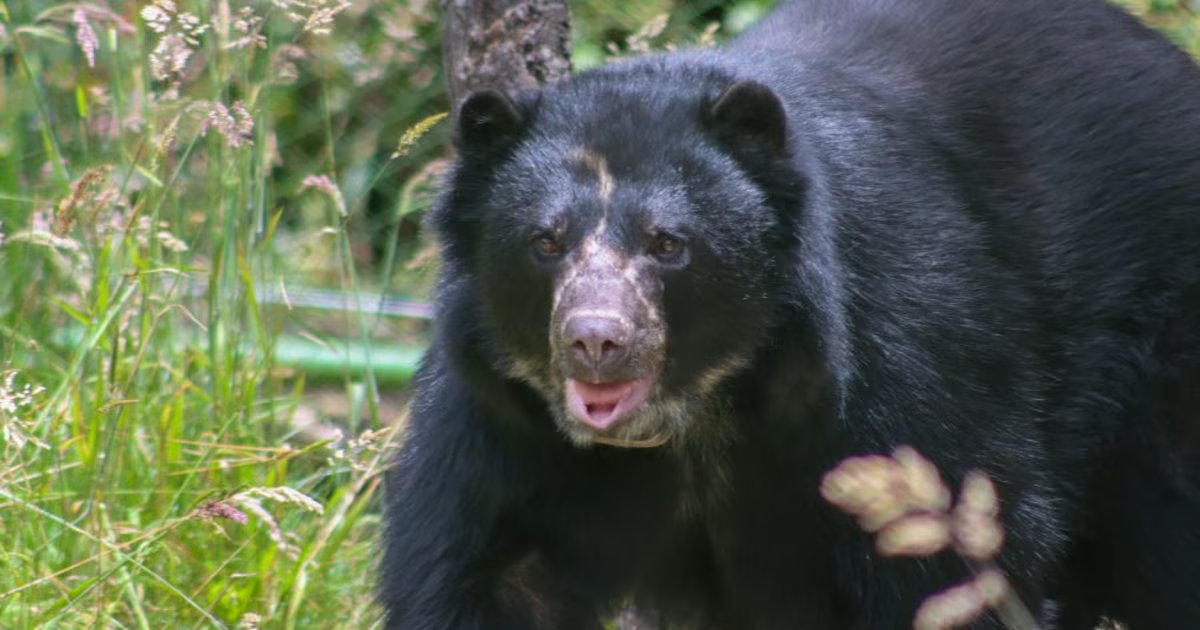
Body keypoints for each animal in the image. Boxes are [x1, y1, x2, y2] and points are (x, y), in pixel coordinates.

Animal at [380, 0, 1200, 628]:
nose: (596, 342)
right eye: (545, 243)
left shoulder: (906, 358)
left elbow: (945, 561)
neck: (698, 409)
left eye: (668, 244)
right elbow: (479, 572)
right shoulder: (504, 419)